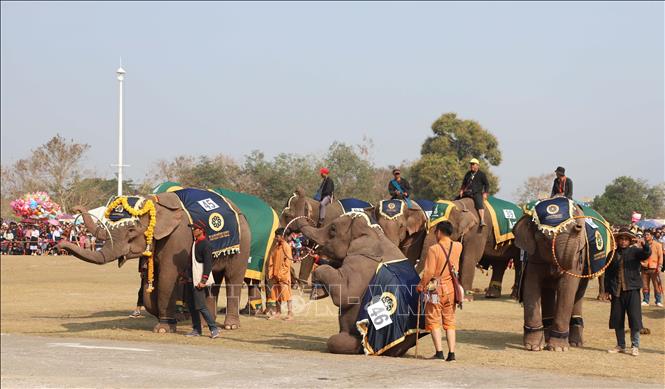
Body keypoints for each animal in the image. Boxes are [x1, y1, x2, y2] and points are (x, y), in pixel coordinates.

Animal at [59, 192, 252, 332]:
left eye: (131, 231)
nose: (60, 244)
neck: (154, 202)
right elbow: (148, 284)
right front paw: (166, 321)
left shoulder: (177, 239)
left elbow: (167, 277)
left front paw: (163, 329)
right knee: (212, 283)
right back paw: (205, 325)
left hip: (243, 243)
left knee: (233, 277)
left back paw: (231, 326)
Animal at [294, 211, 412, 354]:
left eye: (333, 229)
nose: (307, 247)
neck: (374, 233)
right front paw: (318, 292)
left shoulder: (361, 262)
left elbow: (346, 293)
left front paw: (316, 292)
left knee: (336, 342)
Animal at [510, 202, 588, 350]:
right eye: (545, 240)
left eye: (577, 228)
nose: (578, 226)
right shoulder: (533, 255)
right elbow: (531, 285)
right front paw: (533, 347)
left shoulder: (577, 257)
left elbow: (567, 288)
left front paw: (558, 348)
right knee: (548, 290)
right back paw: (546, 339)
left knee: (579, 293)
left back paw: (575, 343)